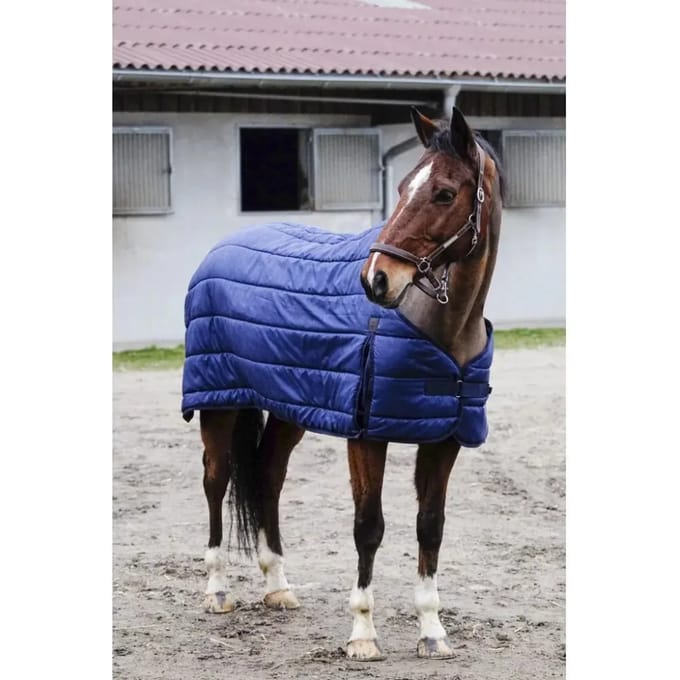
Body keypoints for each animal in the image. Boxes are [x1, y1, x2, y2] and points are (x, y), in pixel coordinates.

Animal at [181, 106, 505, 661]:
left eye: (444, 193)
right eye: (402, 187)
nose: (376, 279)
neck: (441, 327)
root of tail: (218, 250)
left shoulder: (443, 439)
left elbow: (430, 527)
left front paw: (432, 631)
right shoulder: (366, 433)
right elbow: (368, 527)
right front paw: (362, 634)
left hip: (288, 408)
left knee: (267, 476)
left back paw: (278, 586)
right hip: (218, 402)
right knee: (216, 479)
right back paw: (218, 590)